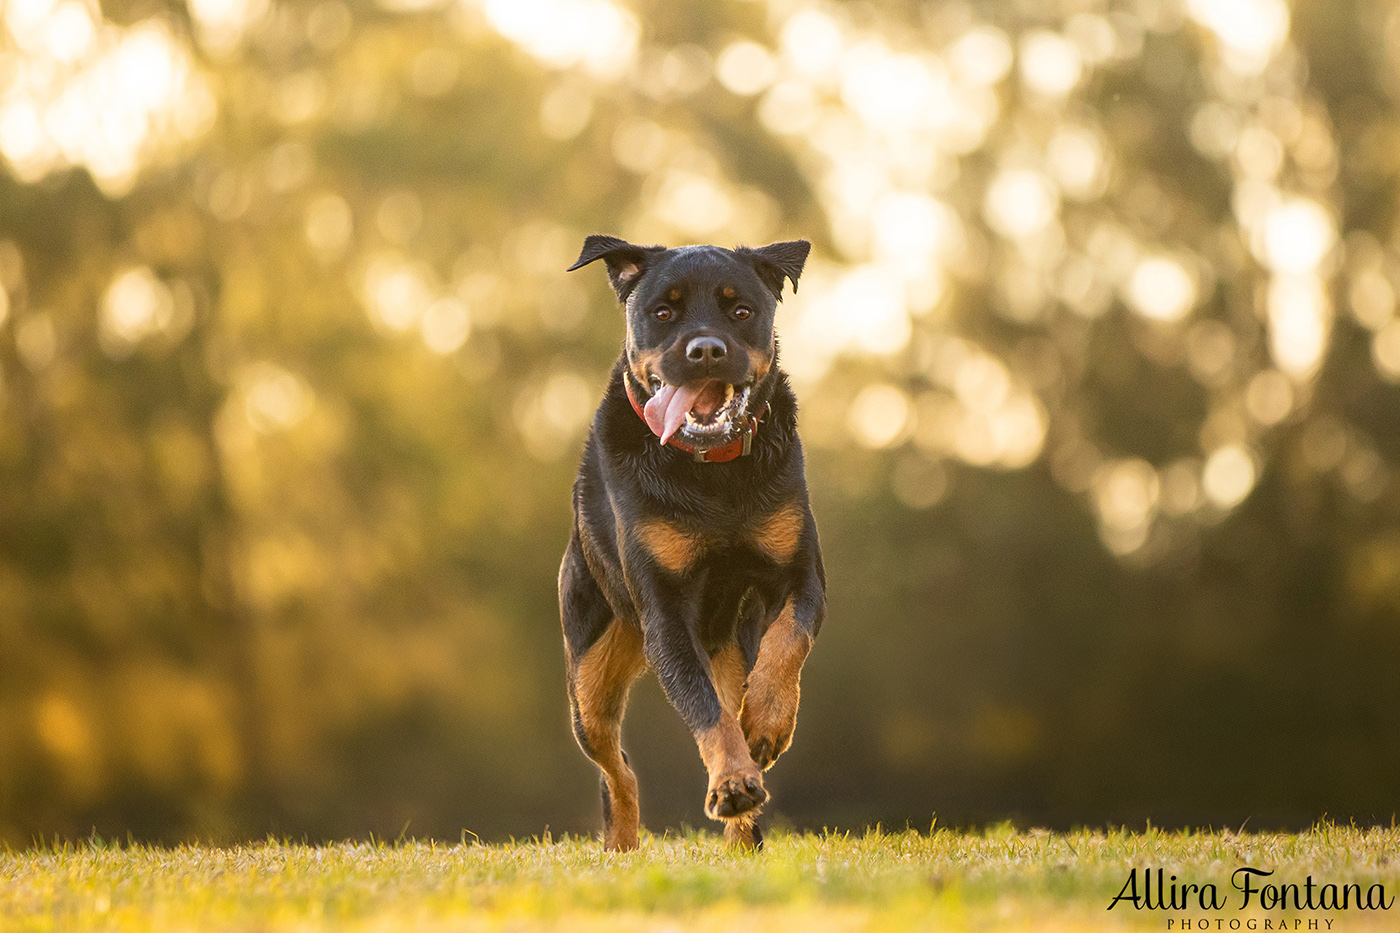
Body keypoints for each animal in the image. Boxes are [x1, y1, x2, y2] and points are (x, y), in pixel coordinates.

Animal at [557, 233, 817, 851]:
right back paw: (625, 845)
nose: (705, 350)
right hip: (589, 673)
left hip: (727, 643)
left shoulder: (801, 575)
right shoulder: (666, 615)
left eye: (741, 311)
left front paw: (767, 724)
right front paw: (732, 782)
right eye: (663, 312)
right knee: (616, 767)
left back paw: (744, 832)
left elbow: (788, 641)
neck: (712, 475)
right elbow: (705, 710)